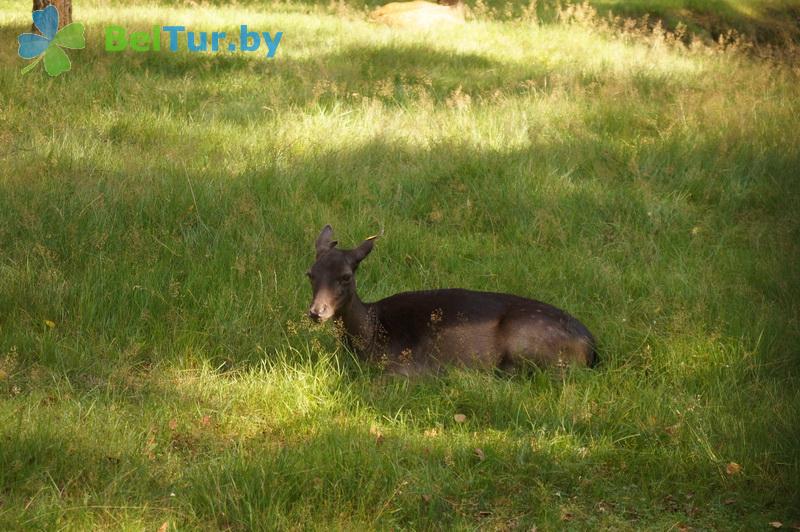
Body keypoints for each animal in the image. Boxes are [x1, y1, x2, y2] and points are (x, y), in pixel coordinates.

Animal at [310, 224, 596, 374]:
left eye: (346, 276)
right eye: (310, 273)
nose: (316, 311)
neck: (371, 332)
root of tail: (593, 348)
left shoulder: (405, 365)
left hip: (528, 341)